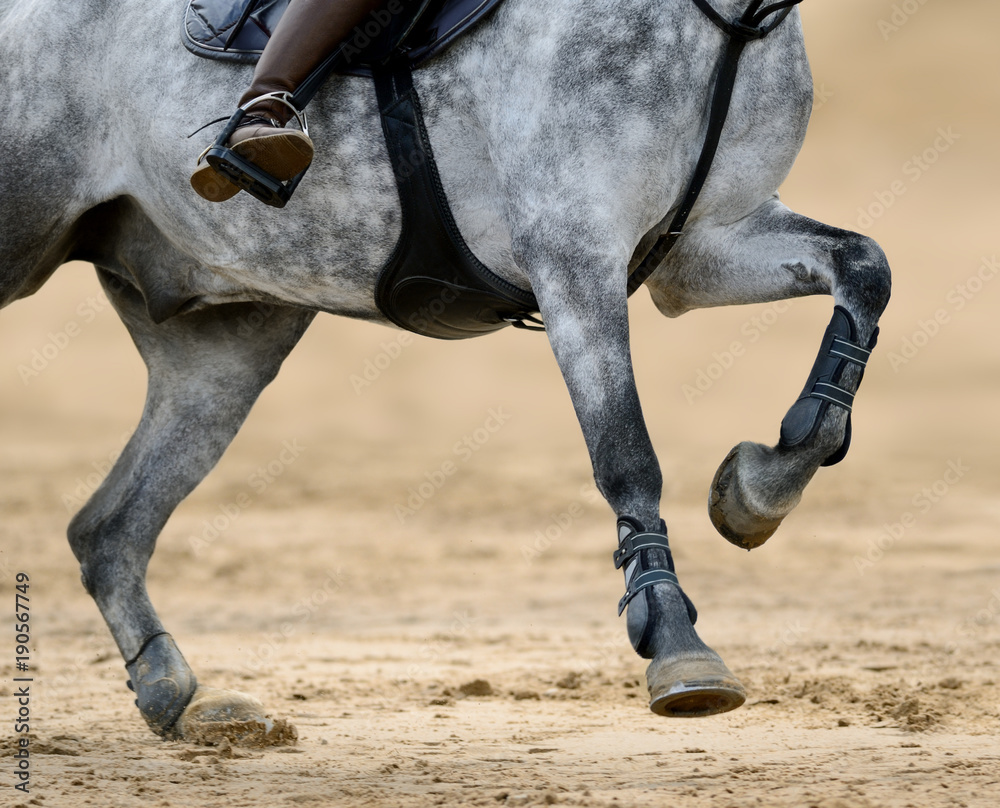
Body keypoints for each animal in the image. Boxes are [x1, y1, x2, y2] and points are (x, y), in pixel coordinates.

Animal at [0, 0, 892, 740]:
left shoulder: (704, 247)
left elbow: (865, 269)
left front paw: (758, 489)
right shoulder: (574, 253)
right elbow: (626, 454)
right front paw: (675, 642)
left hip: (226, 342)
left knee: (109, 528)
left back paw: (175, 695)